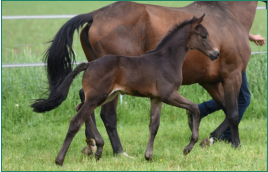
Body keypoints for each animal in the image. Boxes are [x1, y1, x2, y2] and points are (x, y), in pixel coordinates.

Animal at [35, 15, 220, 166]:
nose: (216, 53)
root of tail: (90, 64)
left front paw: (148, 157)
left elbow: (154, 126)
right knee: (76, 121)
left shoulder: (156, 98)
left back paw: (99, 149)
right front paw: (188, 148)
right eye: (204, 36)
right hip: (97, 97)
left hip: (106, 96)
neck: (167, 60)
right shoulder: (169, 95)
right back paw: (60, 160)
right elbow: (194, 108)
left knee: (80, 109)